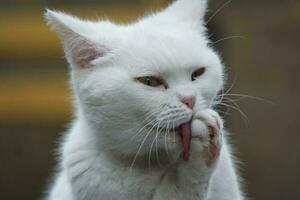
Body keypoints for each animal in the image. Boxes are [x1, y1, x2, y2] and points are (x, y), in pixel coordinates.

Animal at [45, 0, 244, 199]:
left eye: (198, 73)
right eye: (149, 81)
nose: (190, 99)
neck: (152, 163)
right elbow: (184, 188)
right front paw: (202, 146)